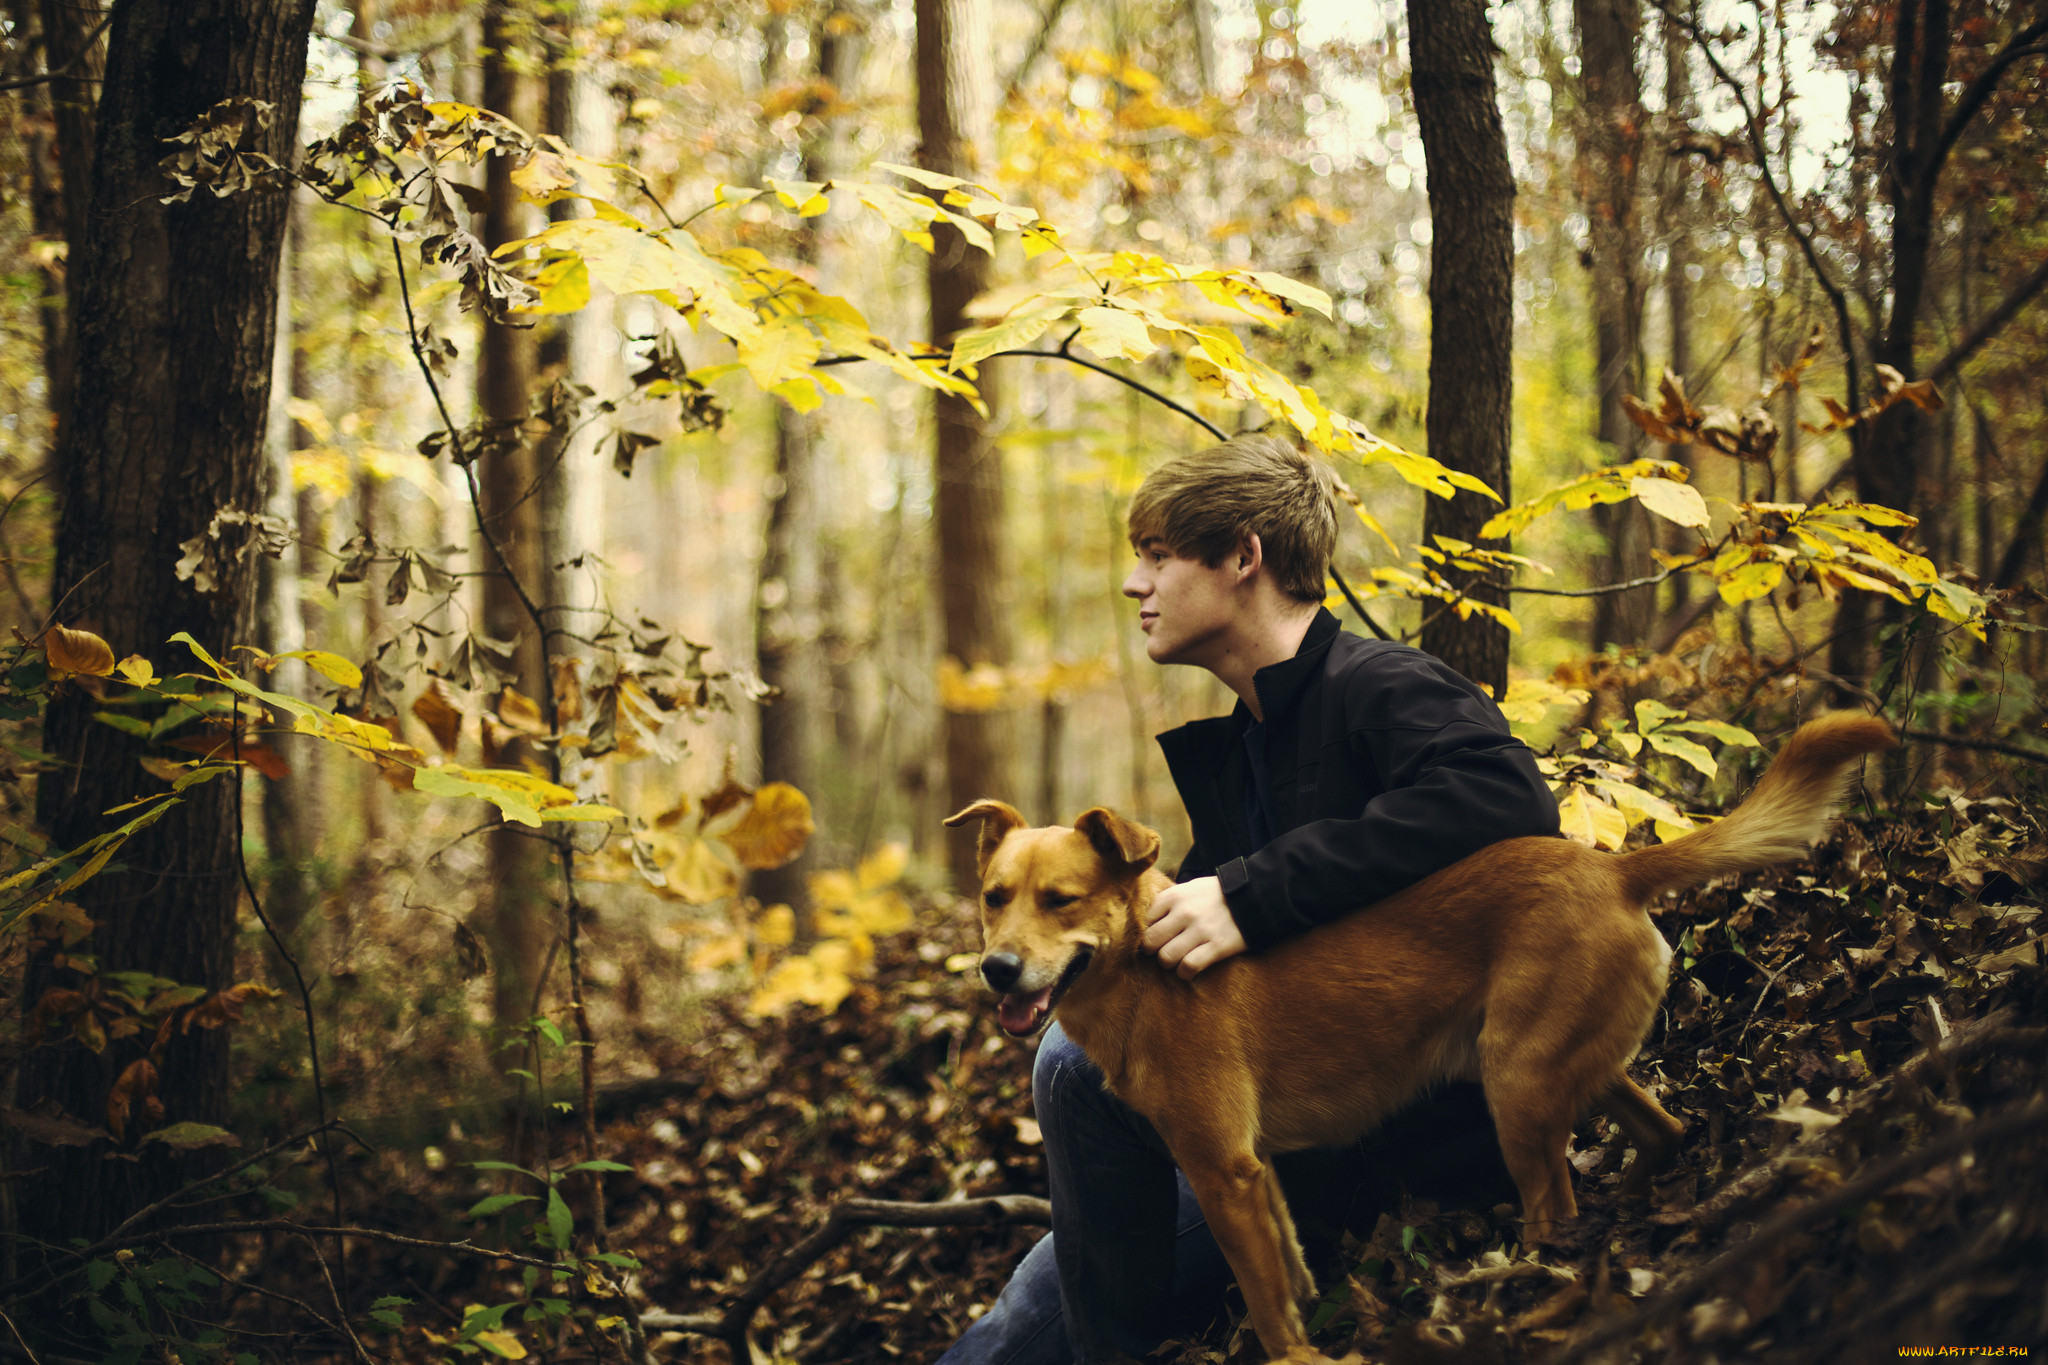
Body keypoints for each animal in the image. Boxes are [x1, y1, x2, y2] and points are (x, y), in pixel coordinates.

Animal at [950, 712, 1892, 1358]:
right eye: (995, 896)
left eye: (1061, 901)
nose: (997, 969)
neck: (1146, 970)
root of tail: (1613, 867)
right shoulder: (1258, 1175)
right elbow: (1289, 1267)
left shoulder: (1222, 1171)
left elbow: (1266, 1303)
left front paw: (1298, 1355)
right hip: (1557, 1061)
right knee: (1662, 1129)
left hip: (1517, 1085)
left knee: (1556, 1212)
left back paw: (1534, 1293)